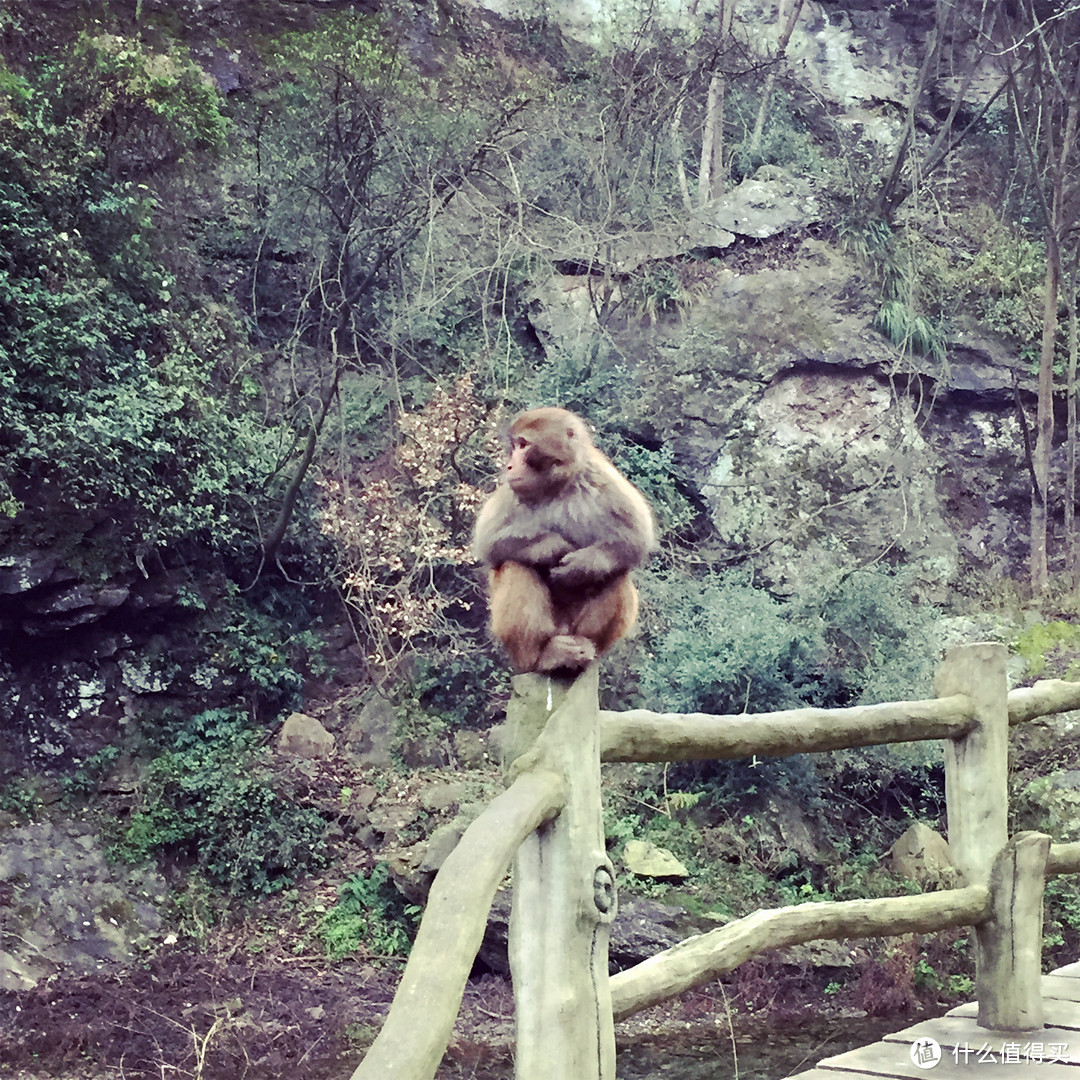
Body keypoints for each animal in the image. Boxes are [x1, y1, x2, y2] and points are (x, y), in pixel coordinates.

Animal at [475, 406, 656, 673]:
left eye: (523, 445)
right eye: (516, 445)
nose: (509, 465)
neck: (557, 486)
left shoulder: (599, 474)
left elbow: (636, 537)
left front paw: (583, 566)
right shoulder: (512, 489)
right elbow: (488, 543)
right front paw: (553, 547)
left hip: (576, 628)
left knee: (618, 572)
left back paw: (585, 646)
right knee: (516, 566)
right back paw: (544, 656)